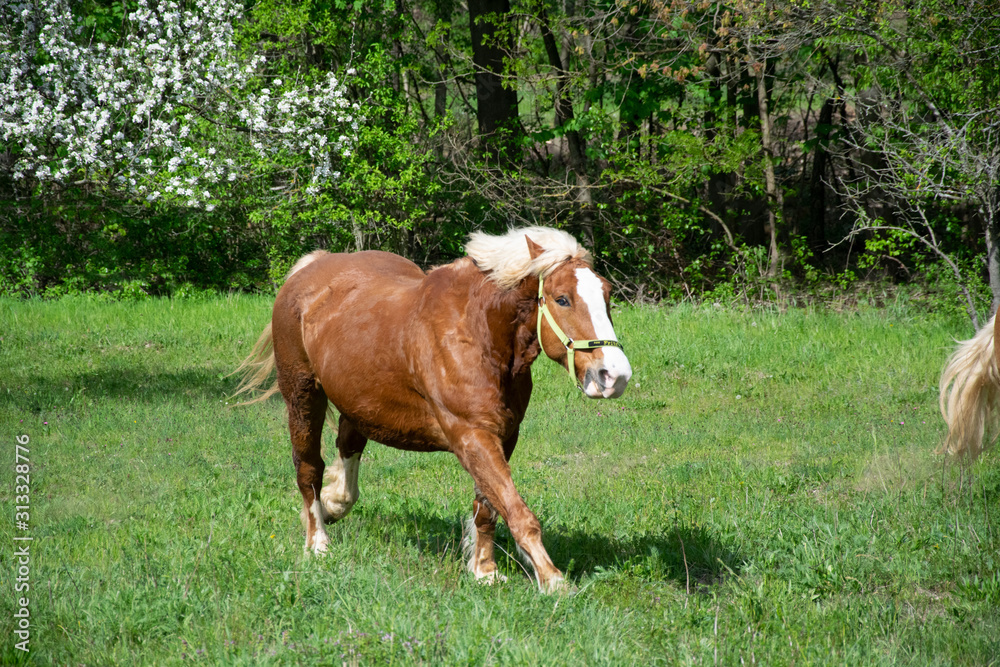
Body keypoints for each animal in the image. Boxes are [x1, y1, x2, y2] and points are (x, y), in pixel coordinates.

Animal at [234, 227, 632, 592]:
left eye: (607, 294)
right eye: (562, 299)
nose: (615, 375)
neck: (478, 334)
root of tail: (308, 269)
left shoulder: (504, 435)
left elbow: (488, 507)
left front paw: (483, 570)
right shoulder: (471, 434)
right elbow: (516, 510)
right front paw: (553, 581)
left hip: (357, 398)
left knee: (348, 446)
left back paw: (334, 505)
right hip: (303, 395)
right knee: (308, 468)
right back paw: (317, 542)